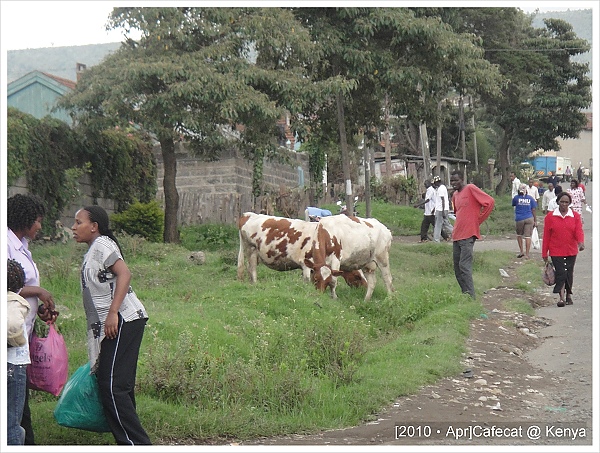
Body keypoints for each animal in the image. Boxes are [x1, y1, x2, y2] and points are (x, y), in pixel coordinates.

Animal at [237, 211, 368, 286]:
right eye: (357, 275)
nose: (365, 287)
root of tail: (247, 214)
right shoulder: (306, 264)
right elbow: (307, 280)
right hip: (251, 250)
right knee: (252, 269)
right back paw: (255, 284)